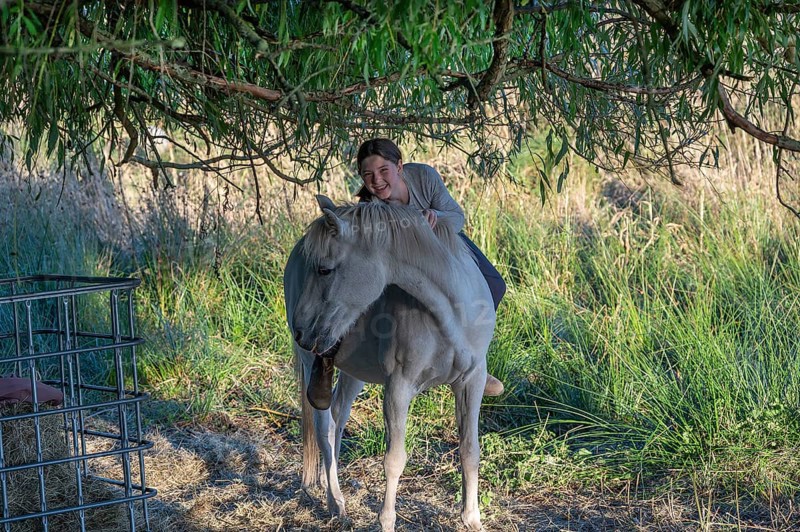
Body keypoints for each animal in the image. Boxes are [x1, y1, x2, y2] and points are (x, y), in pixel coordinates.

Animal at [283, 195, 496, 531]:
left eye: (325, 270)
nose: (301, 330)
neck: (453, 313)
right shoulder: (398, 388)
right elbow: (394, 460)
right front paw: (386, 521)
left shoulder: (471, 381)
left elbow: (470, 450)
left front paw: (471, 518)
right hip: (312, 363)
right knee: (324, 428)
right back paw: (335, 502)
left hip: (352, 371)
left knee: (338, 419)